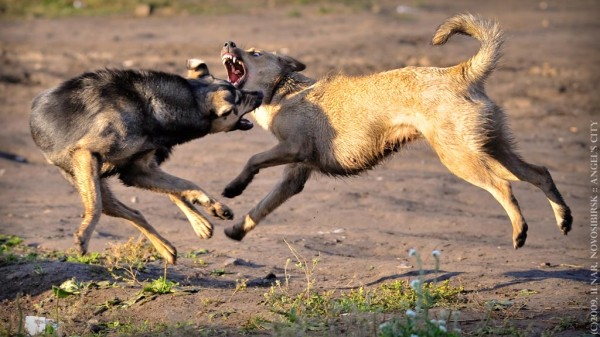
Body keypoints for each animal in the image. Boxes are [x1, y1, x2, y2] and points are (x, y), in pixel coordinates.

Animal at [219, 13, 572, 247]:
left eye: (255, 52)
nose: (228, 42)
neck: (283, 90)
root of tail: (460, 72)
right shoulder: (294, 175)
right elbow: (262, 207)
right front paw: (236, 228)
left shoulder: (293, 148)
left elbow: (252, 159)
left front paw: (234, 187)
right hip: (492, 147)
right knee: (540, 173)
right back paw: (563, 218)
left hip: (461, 157)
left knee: (504, 187)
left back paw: (520, 230)